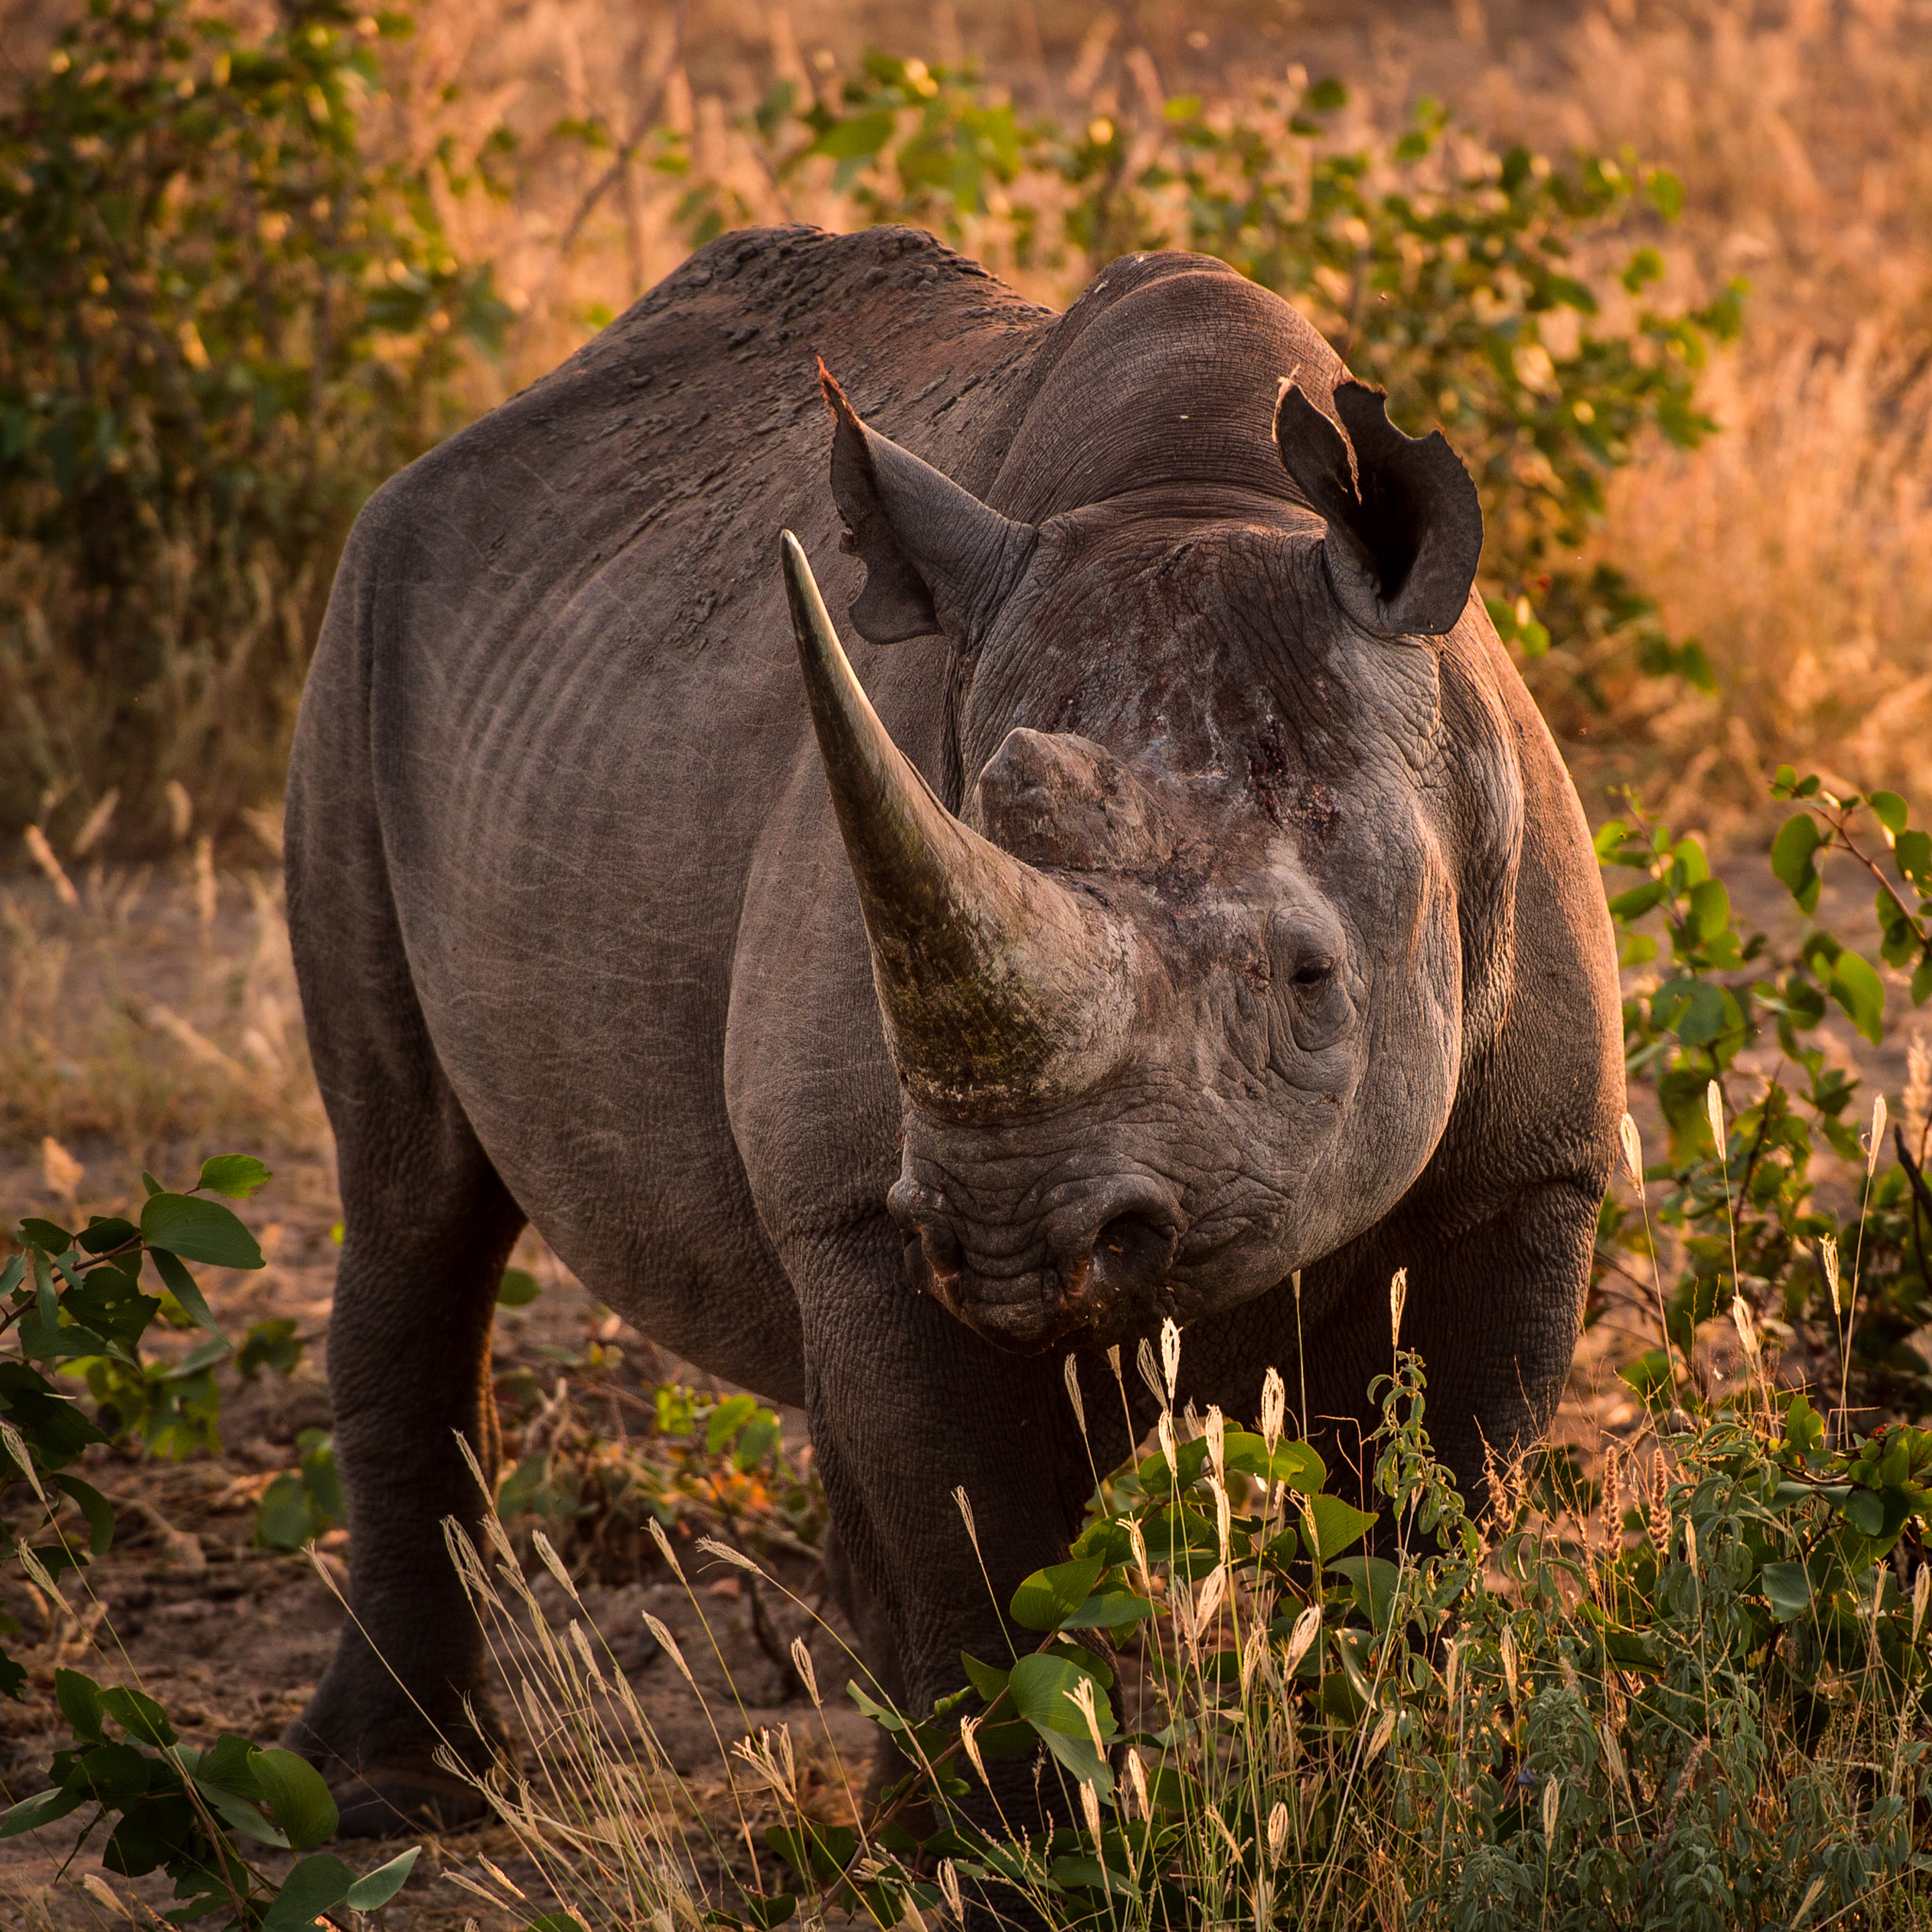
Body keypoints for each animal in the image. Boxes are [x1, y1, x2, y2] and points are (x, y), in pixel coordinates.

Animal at [283, 224, 1620, 1830]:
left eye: (1311, 983)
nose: (1009, 1236)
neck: (1204, 500)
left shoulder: (1531, 1171)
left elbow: (1428, 1528)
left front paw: (1392, 1796)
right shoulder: (862, 1214)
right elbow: (972, 1563)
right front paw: (1013, 1852)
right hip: (358, 638)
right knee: (413, 1192)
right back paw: (388, 1794)